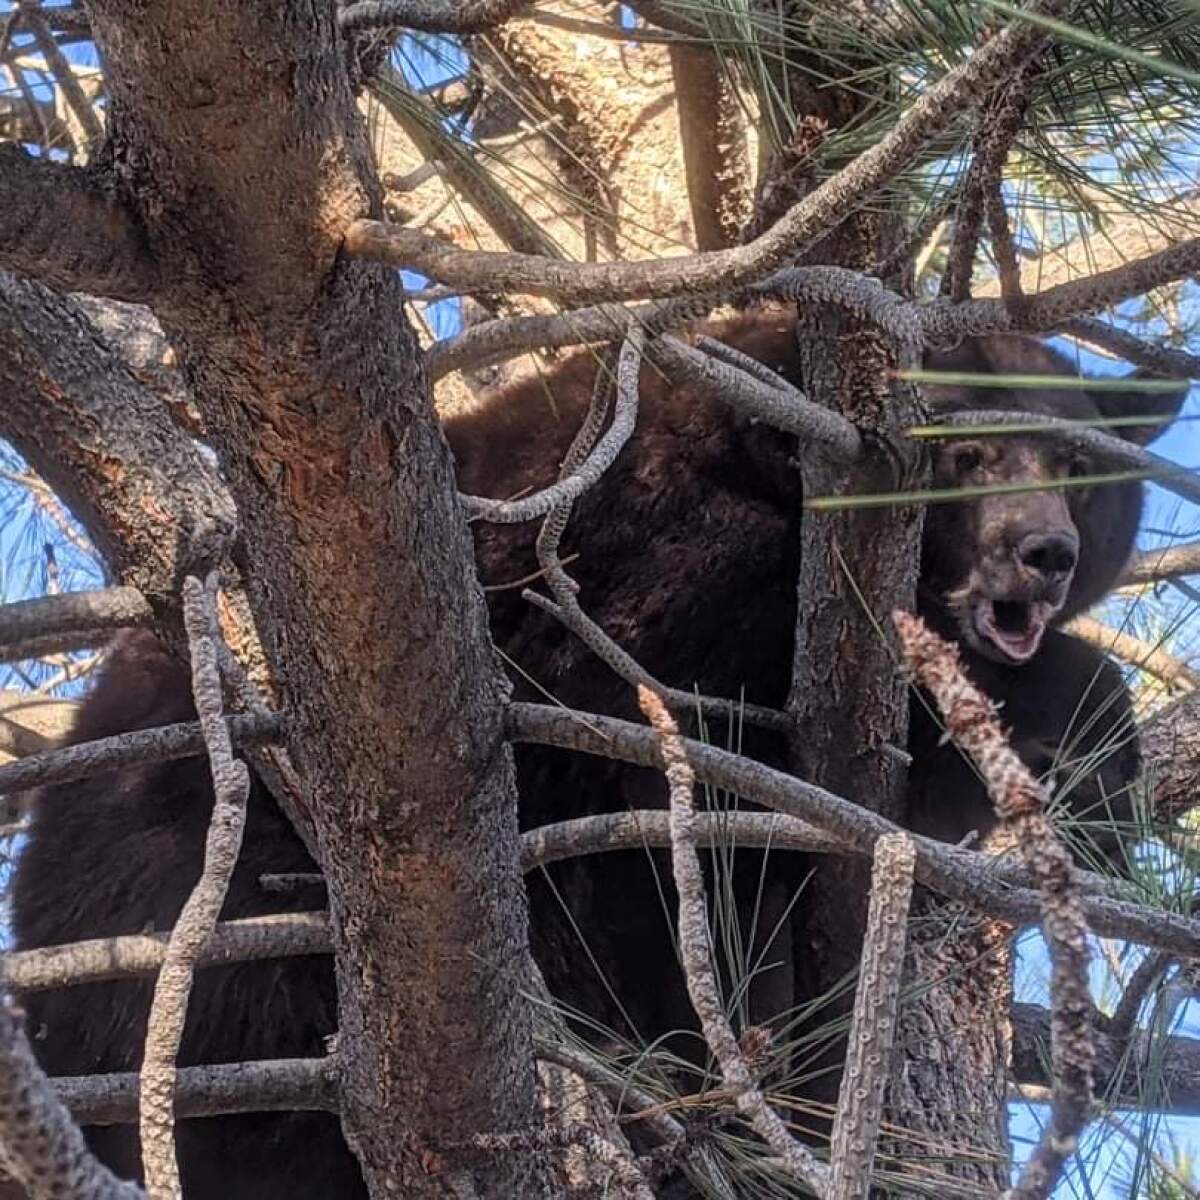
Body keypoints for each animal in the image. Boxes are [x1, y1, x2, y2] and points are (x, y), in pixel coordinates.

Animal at [4, 312, 1185, 1200]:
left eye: (1078, 463)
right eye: (965, 450)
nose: (1043, 551)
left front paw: (1089, 770)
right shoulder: (639, 577)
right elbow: (721, 714)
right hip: (216, 917)